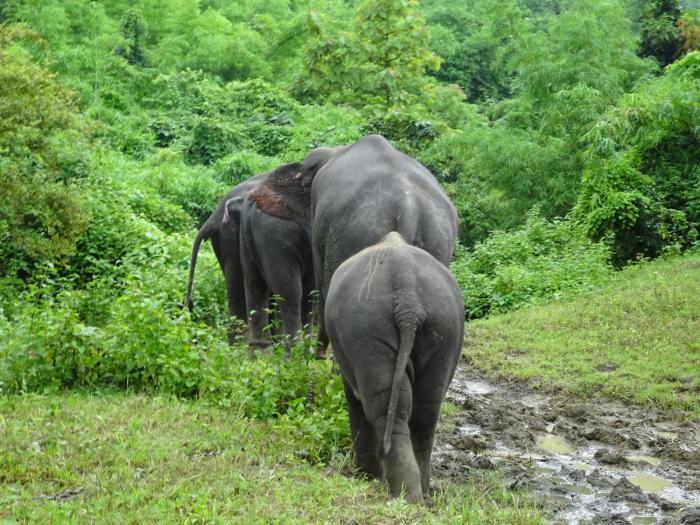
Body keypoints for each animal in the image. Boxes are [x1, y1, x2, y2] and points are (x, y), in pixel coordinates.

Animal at [326, 231, 464, 502]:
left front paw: (365, 476)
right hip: (444, 327)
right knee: (425, 409)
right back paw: (421, 493)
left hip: (367, 330)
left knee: (384, 405)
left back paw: (403, 493)